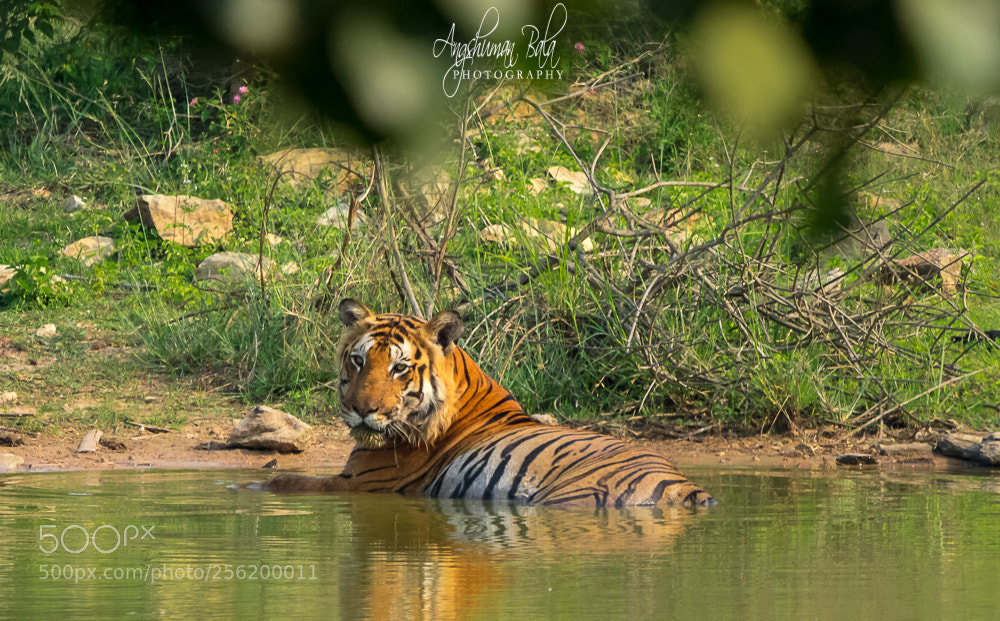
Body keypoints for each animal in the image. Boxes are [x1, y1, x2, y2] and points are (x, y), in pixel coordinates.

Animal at [264, 299, 716, 508]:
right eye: (358, 361)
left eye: (399, 368)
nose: (362, 410)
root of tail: (687, 486)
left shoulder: (362, 484)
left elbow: (283, 481)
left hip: (573, 496)